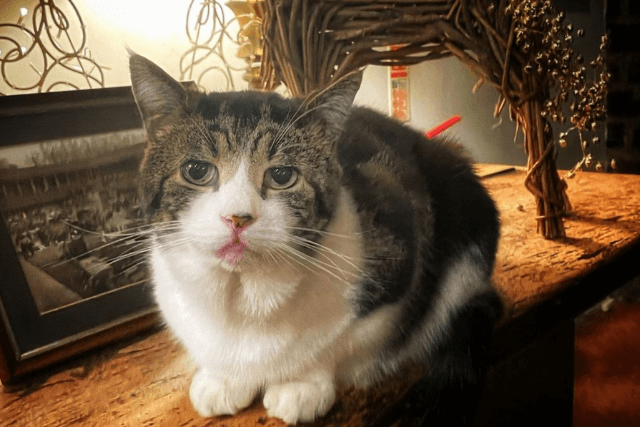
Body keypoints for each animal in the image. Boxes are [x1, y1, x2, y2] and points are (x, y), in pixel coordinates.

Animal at [130, 54, 504, 427]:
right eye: (196, 171)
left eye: (282, 175)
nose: (237, 218)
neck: (243, 295)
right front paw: (223, 379)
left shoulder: (397, 263)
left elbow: (340, 342)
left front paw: (300, 384)